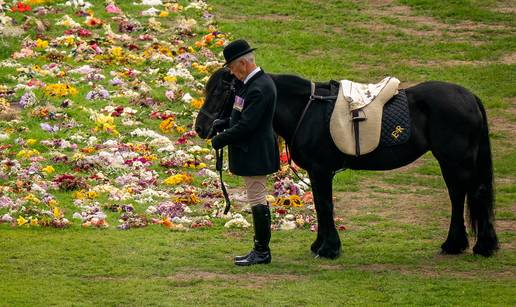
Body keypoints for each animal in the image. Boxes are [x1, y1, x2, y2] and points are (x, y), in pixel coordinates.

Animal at [195, 68, 500, 258]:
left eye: (221, 91)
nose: (201, 128)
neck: (307, 110)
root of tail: (469, 97)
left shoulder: (321, 170)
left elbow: (324, 205)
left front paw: (329, 249)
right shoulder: (317, 171)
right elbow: (322, 206)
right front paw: (320, 245)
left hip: (457, 160)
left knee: (474, 193)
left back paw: (483, 246)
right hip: (450, 162)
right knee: (458, 196)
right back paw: (454, 244)